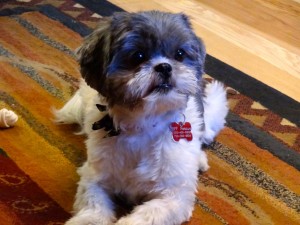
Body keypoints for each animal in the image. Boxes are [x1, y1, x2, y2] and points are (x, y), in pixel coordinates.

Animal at [54, 10, 227, 225]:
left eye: (179, 54)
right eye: (138, 56)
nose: (164, 66)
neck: (144, 124)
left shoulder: (175, 197)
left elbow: (147, 214)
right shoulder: (94, 177)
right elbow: (93, 205)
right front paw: (88, 219)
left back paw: (200, 160)